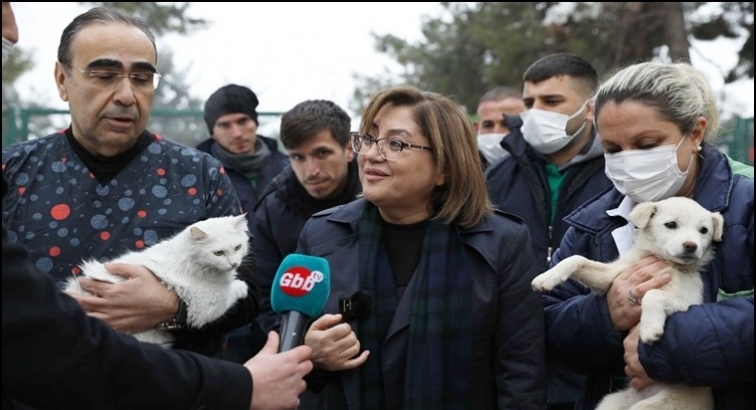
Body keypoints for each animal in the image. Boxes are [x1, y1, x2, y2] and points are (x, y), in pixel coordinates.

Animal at [65, 214, 251, 348]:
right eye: (218, 253)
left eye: (238, 247)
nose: (234, 263)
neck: (189, 260)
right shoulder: (206, 305)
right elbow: (231, 291)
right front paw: (242, 287)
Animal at [531, 196, 722, 410]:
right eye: (671, 225)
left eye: (704, 230)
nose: (691, 246)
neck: (667, 263)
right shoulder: (612, 276)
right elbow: (577, 259)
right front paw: (545, 278)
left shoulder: (688, 303)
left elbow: (652, 294)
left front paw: (649, 329)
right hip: (609, 402)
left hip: (662, 404)